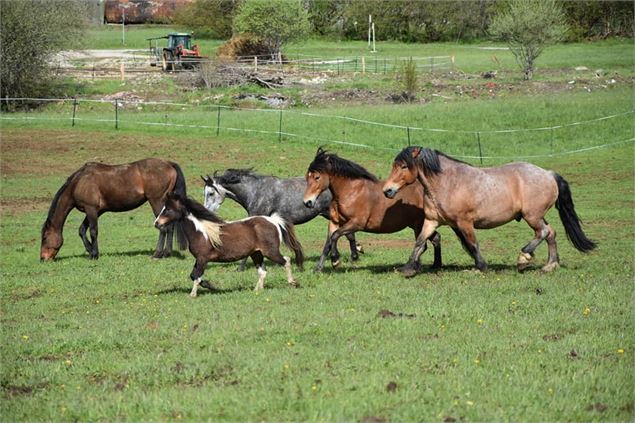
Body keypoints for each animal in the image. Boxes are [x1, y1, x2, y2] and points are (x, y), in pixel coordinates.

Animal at [40, 157, 186, 260]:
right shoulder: (96, 211)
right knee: (170, 227)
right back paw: (167, 253)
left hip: (156, 202)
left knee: (163, 228)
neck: (79, 182)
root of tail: (169, 164)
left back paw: (157, 253)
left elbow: (93, 231)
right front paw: (90, 251)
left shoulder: (91, 209)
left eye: (45, 238)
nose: (43, 258)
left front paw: (94, 254)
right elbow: (82, 230)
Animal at [154, 193, 304, 298]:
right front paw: (211, 285)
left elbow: (196, 277)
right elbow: (194, 275)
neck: (200, 232)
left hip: (270, 252)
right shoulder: (199, 259)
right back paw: (257, 290)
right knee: (263, 272)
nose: (156, 223)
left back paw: (293, 283)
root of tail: (274, 221)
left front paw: (193, 294)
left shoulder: (203, 258)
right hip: (256, 253)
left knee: (286, 260)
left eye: (168, 209)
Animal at [304, 148, 442, 274]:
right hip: (419, 225)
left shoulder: (356, 223)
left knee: (423, 245)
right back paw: (435, 265)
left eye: (317, 177)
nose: (307, 202)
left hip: (419, 225)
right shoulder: (334, 222)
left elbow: (335, 236)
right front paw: (318, 268)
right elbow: (328, 242)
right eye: (307, 177)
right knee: (435, 239)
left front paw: (335, 260)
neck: (350, 192)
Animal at [382, 147, 596, 274]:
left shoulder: (464, 222)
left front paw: (481, 266)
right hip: (537, 216)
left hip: (532, 216)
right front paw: (408, 267)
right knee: (551, 233)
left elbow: (473, 244)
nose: (387, 190)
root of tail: (548, 174)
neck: (448, 183)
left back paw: (523, 258)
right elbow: (420, 242)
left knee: (542, 232)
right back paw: (550, 265)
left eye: (403, 166)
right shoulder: (431, 221)